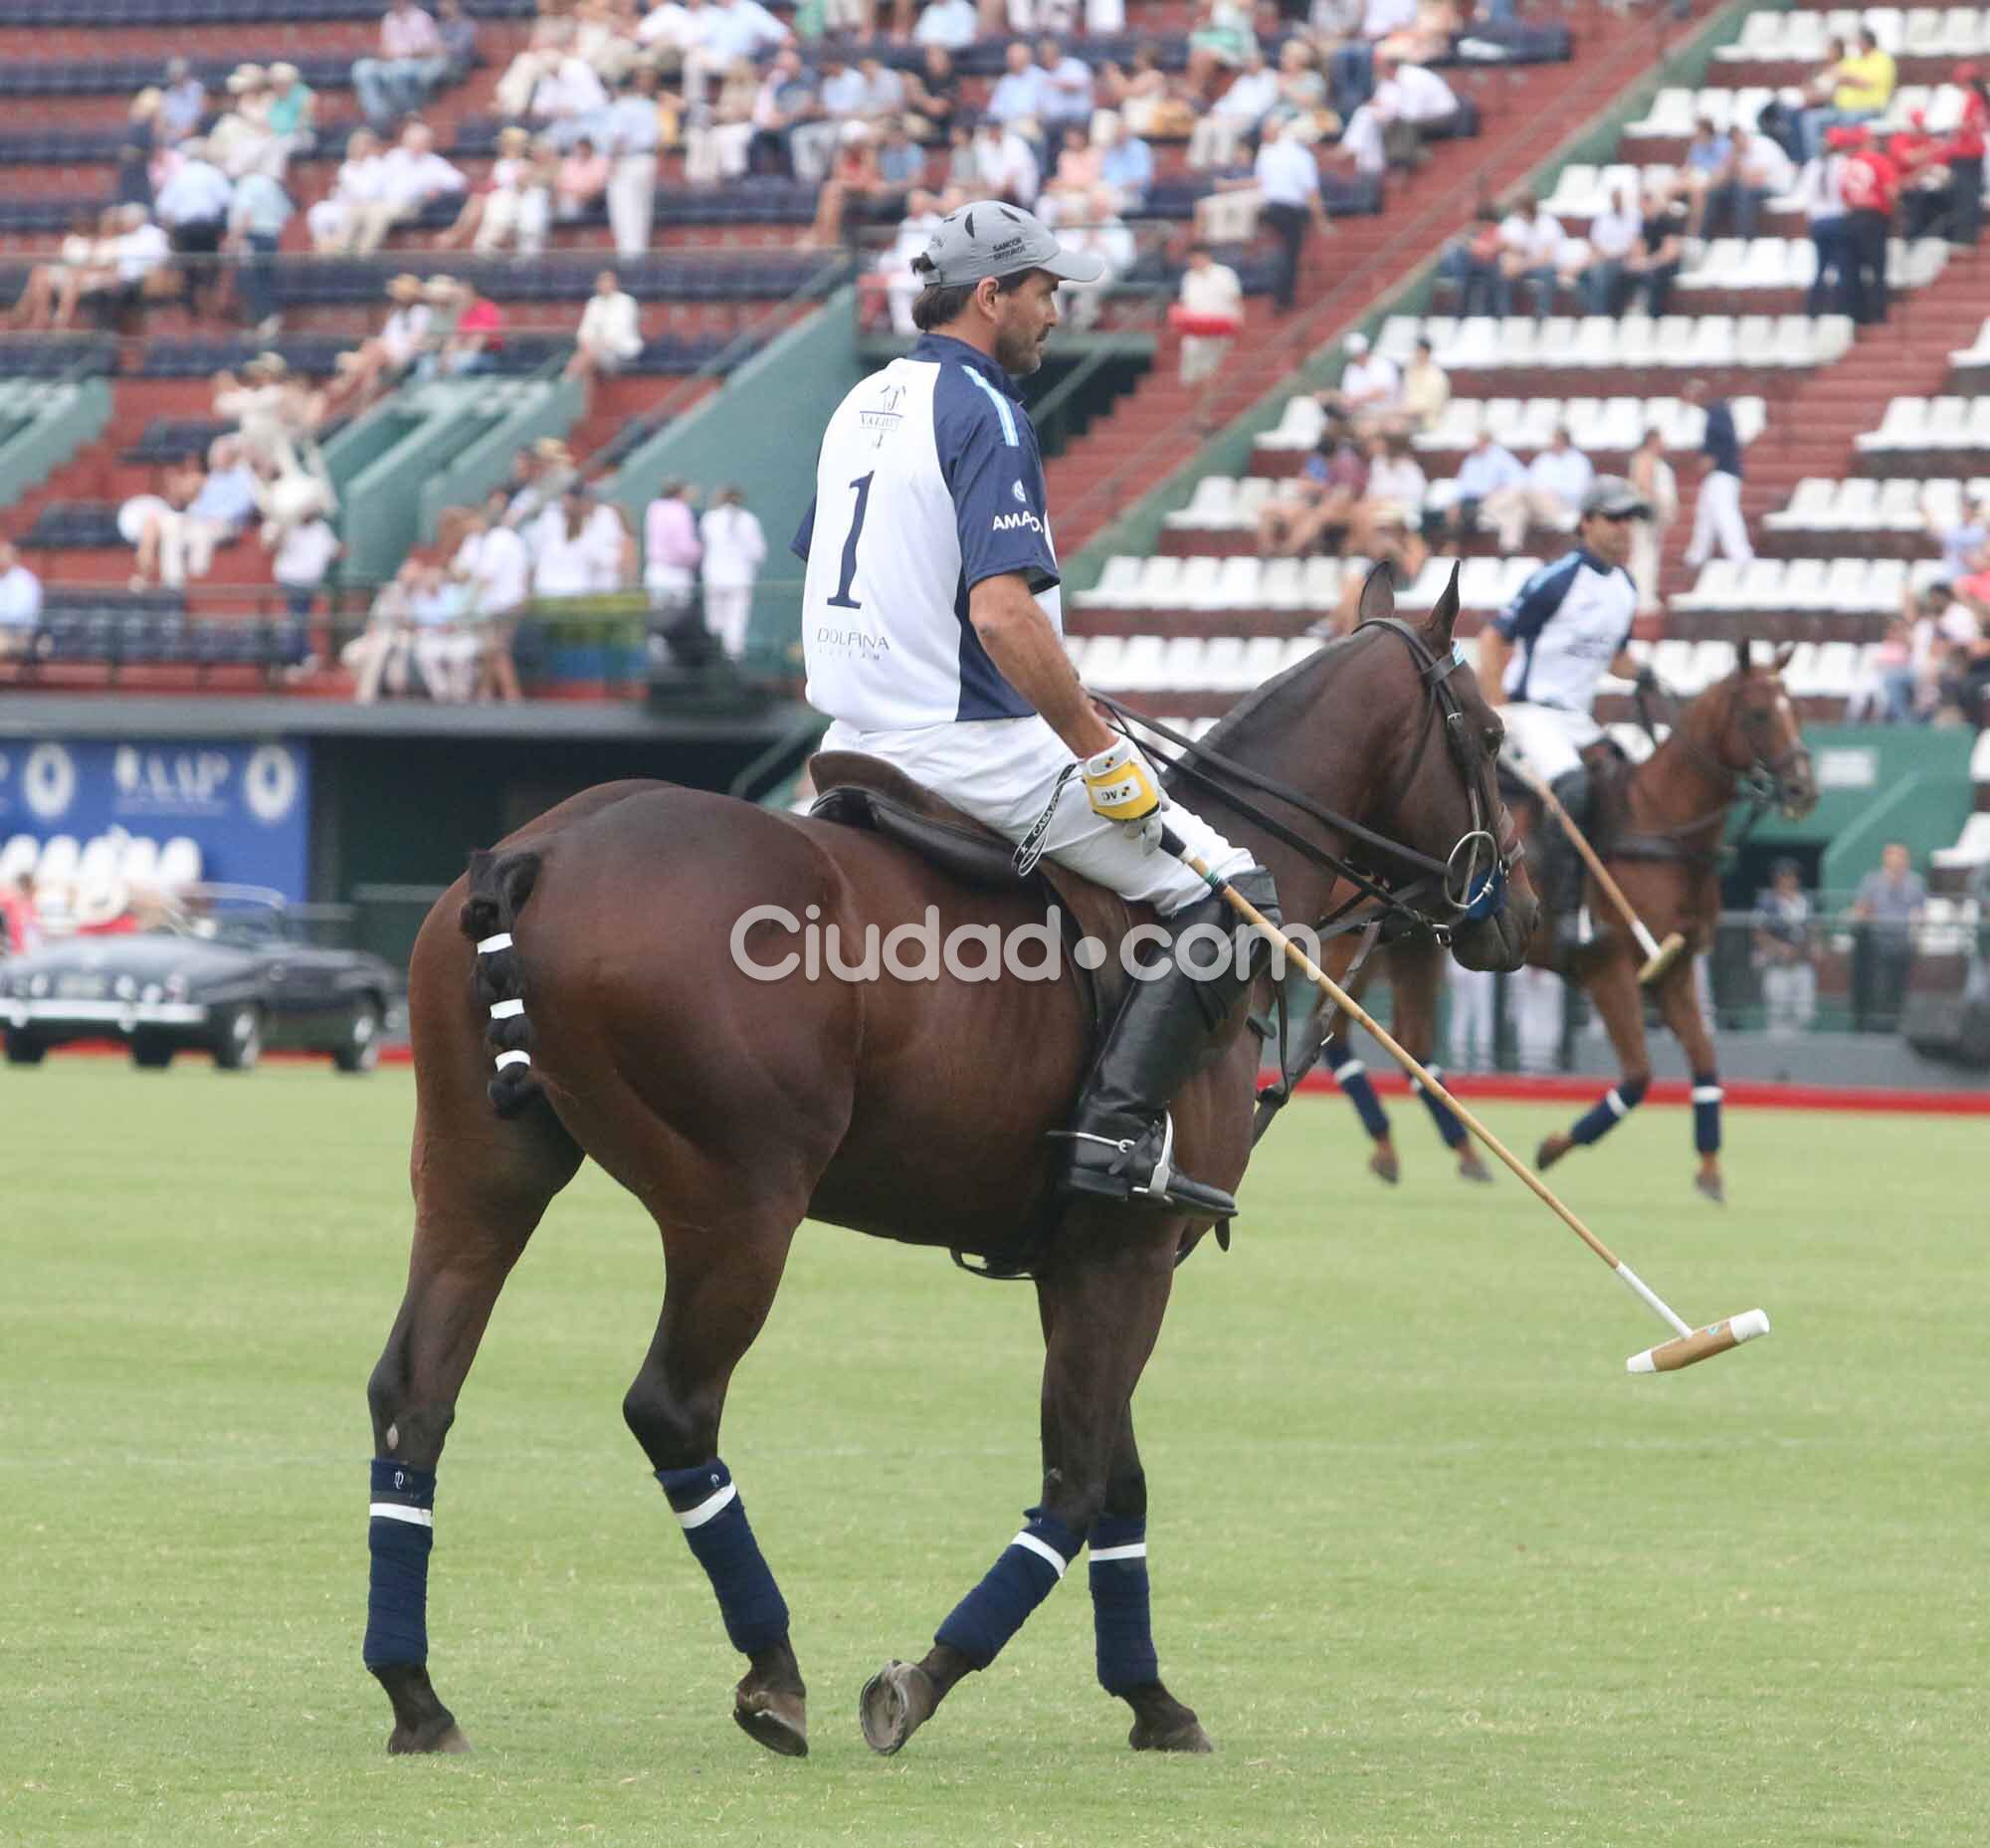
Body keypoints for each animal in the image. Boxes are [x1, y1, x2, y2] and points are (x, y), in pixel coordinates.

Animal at [358, 561, 1536, 1759]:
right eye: (1490, 737)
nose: (1521, 914)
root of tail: (536, 854)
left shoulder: (1080, 1258)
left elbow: (1117, 1478)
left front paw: (1151, 1698)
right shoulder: (1130, 1247)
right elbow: (1077, 1481)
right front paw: (922, 1679)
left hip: (479, 1167)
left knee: (415, 1389)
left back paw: (417, 1694)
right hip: (738, 1202)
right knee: (672, 1407)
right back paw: (772, 1672)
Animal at [1313, 641, 1815, 1202]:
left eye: (1797, 709)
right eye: (1758, 714)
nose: (1803, 788)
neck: (1659, 826)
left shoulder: (1673, 968)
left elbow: (1706, 1061)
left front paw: (1709, 1172)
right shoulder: (1607, 967)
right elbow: (1638, 1077)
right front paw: (1553, 1149)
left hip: (1410, 944)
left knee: (1412, 1042)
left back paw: (1465, 1154)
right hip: (1351, 938)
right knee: (1339, 1035)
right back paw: (1385, 1145)